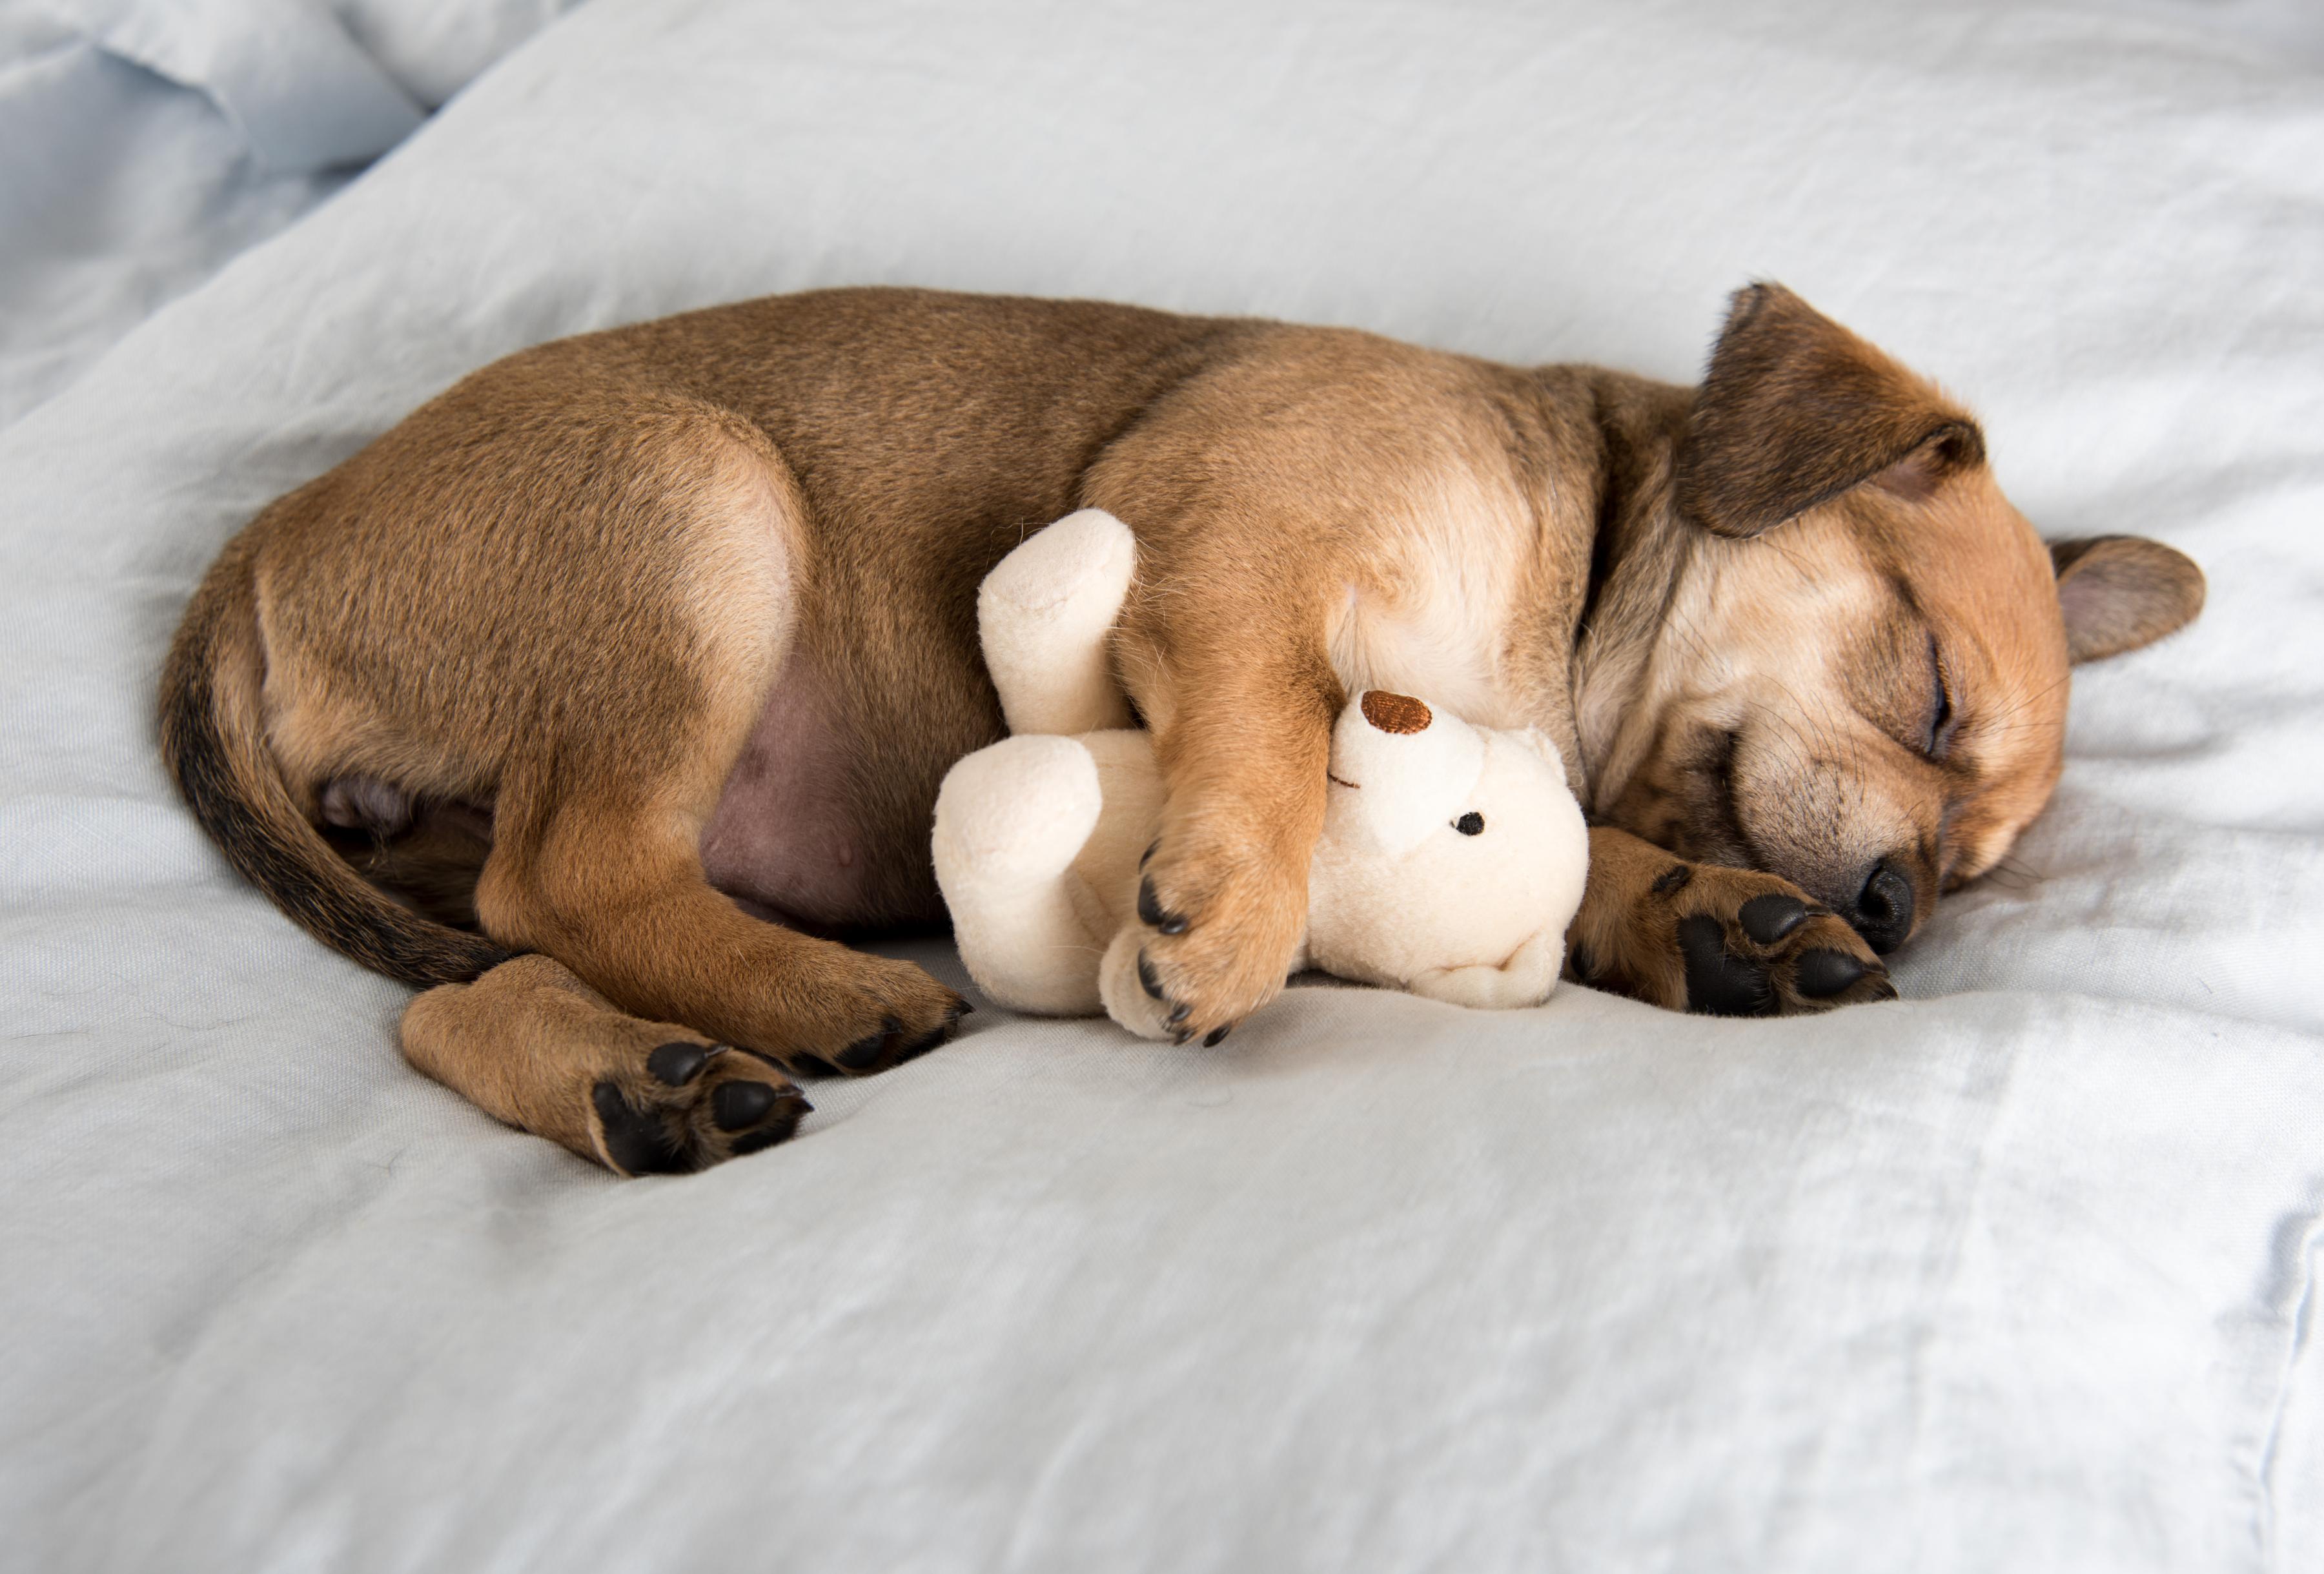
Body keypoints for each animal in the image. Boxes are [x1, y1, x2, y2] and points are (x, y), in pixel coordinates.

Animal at [159, 279, 2194, 1167]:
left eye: (1976, 863)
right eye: (1927, 686)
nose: (1902, 900)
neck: (1577, 551)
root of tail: (274, 533)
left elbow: (1579, 847)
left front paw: (1710, 919)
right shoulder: (1231, 546)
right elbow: (1278, 731)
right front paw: (1223, 913)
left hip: (457, 835)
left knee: (458, 983)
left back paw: (645, 1081)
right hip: (696, 514)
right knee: (570, 879)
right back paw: (816, 997)